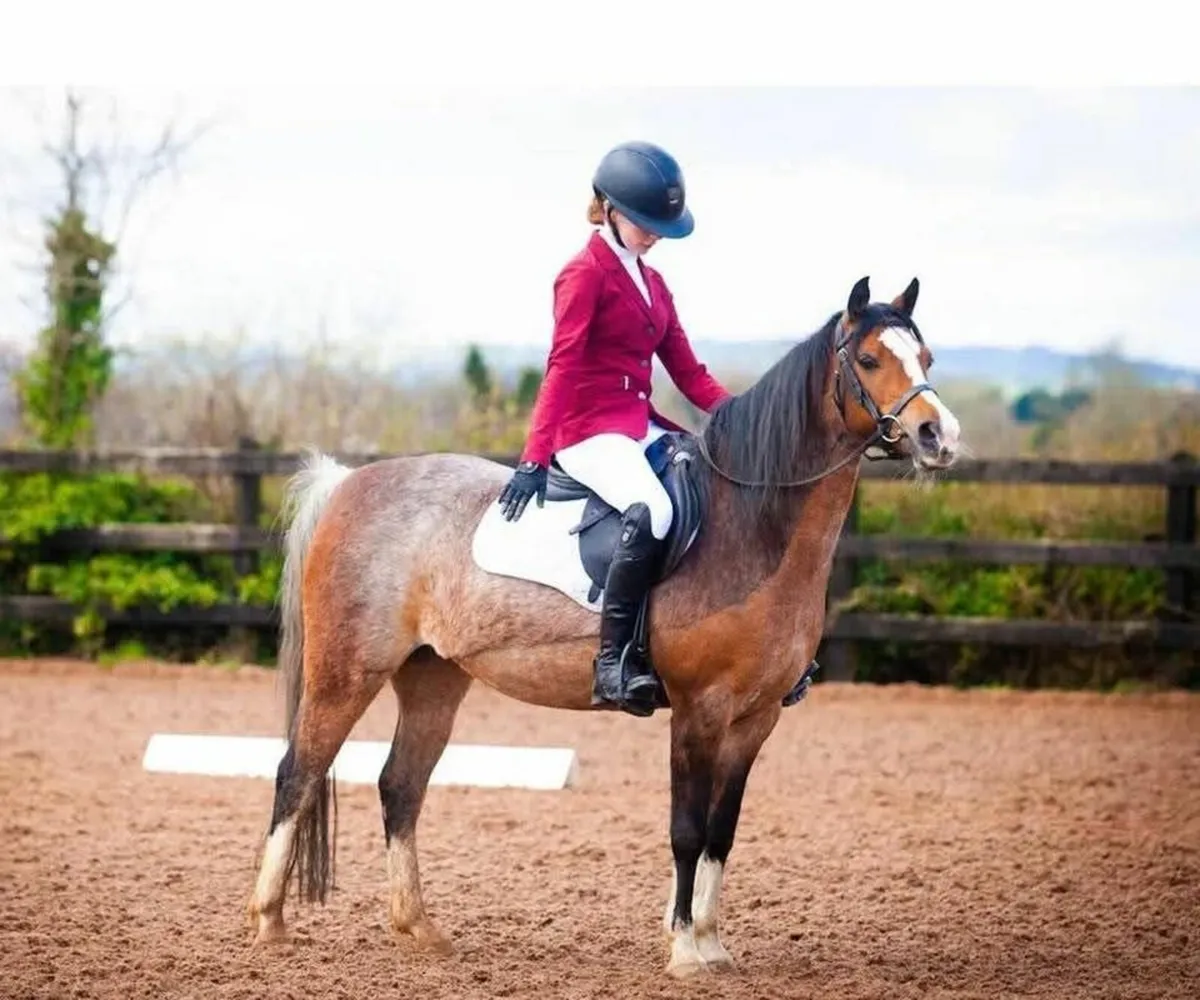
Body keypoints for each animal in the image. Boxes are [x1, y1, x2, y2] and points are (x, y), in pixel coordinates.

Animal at [245, 275, 962, 978]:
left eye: (926, 358)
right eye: (868, 360)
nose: (939, 436)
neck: (750, 521)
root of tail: (348, 483)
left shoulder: (755, 719)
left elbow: (722, 831)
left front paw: (712, 944)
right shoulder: (698, 710)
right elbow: (686, 829)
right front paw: (684, 951)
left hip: (434, 677)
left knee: (400, 786)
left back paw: (419, 929)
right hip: (346, 671)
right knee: (298, 772)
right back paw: (270, 922)